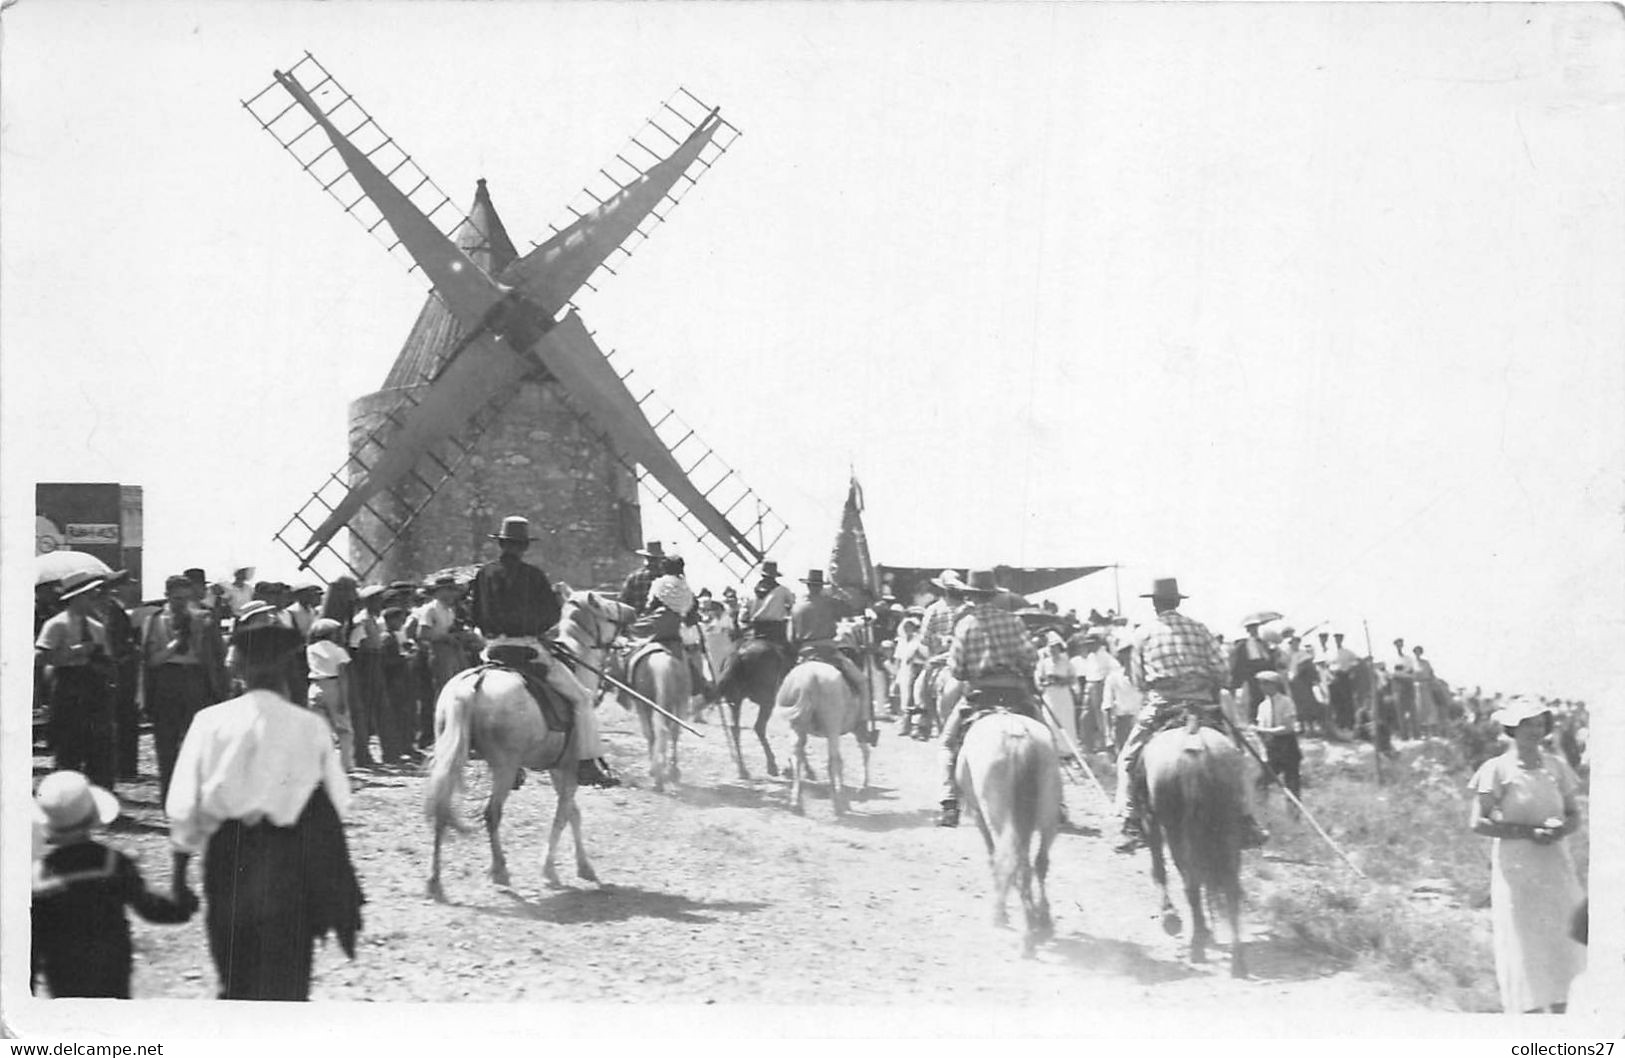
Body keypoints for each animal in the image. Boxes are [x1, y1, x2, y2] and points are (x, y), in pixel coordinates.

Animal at [425, 588, 633, 903]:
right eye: (607, 607)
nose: (632, 611)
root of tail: (475, 683)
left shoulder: (557, 770)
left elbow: (572, 814)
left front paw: (581, 867)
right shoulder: (567, 769)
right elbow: (564, 815)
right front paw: (551, 870)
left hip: (452, 757)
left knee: (442, 807)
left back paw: (435, 882)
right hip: (505, 766)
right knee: (491, 813)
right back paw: (500, 871)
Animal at [715, 637, 789, 776]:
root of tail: (737, 655)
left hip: (736, 700)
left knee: (735, 729)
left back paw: (742, 769)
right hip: (766, 699)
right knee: (758, 727)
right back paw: (771, 766)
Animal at [1137, 721, 1248, 975]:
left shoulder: (1151, 820)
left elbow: (1160, 869)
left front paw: (1170, 916)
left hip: (1177, 831)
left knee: (1191, 884)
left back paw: (1197, 947)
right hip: (1228, 827)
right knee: (1229, 885)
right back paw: (1237, 960)